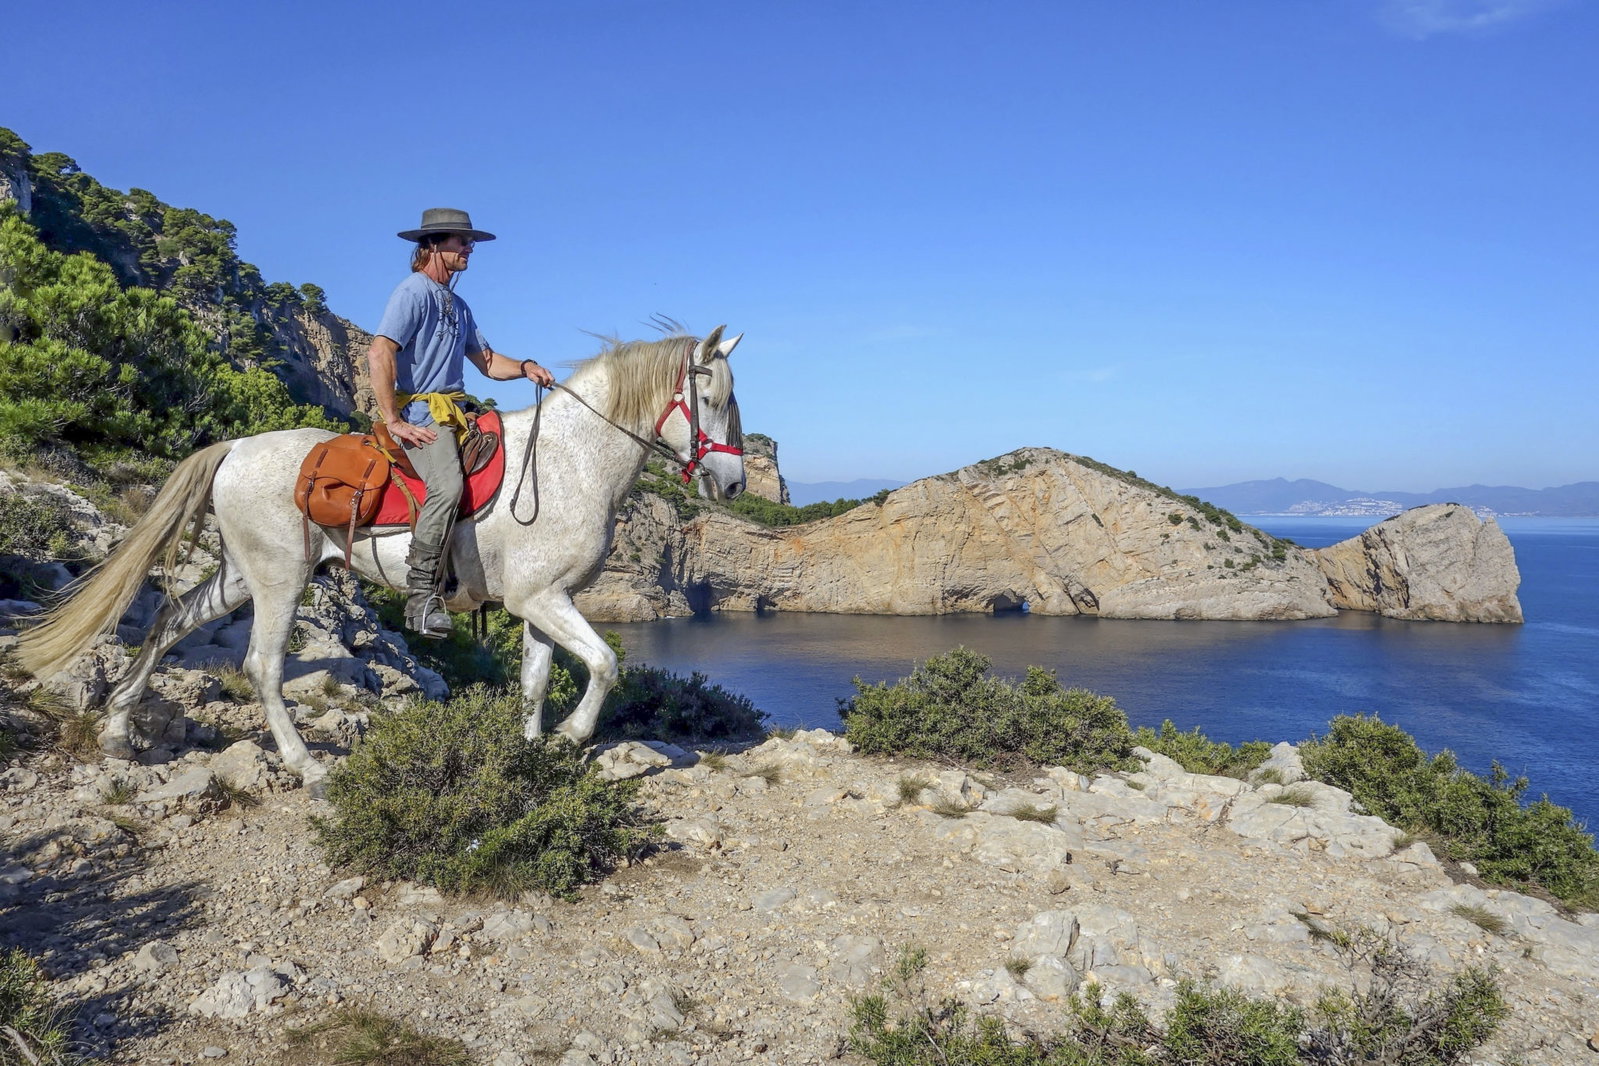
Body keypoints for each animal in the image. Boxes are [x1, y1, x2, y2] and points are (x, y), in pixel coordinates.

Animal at [17, 327, 746, 794]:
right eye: (711, 399)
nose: (735, 484)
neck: (571, 460)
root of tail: (236, 447)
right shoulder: (543, 600)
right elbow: (603, 665)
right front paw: (571, 737)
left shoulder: (542, 602)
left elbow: (536, 684)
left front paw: (533, 755)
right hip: (280, 581)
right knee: (262, 667)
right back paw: (306, 766)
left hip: (239, 575)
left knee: (170, 622)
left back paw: (118, 729)